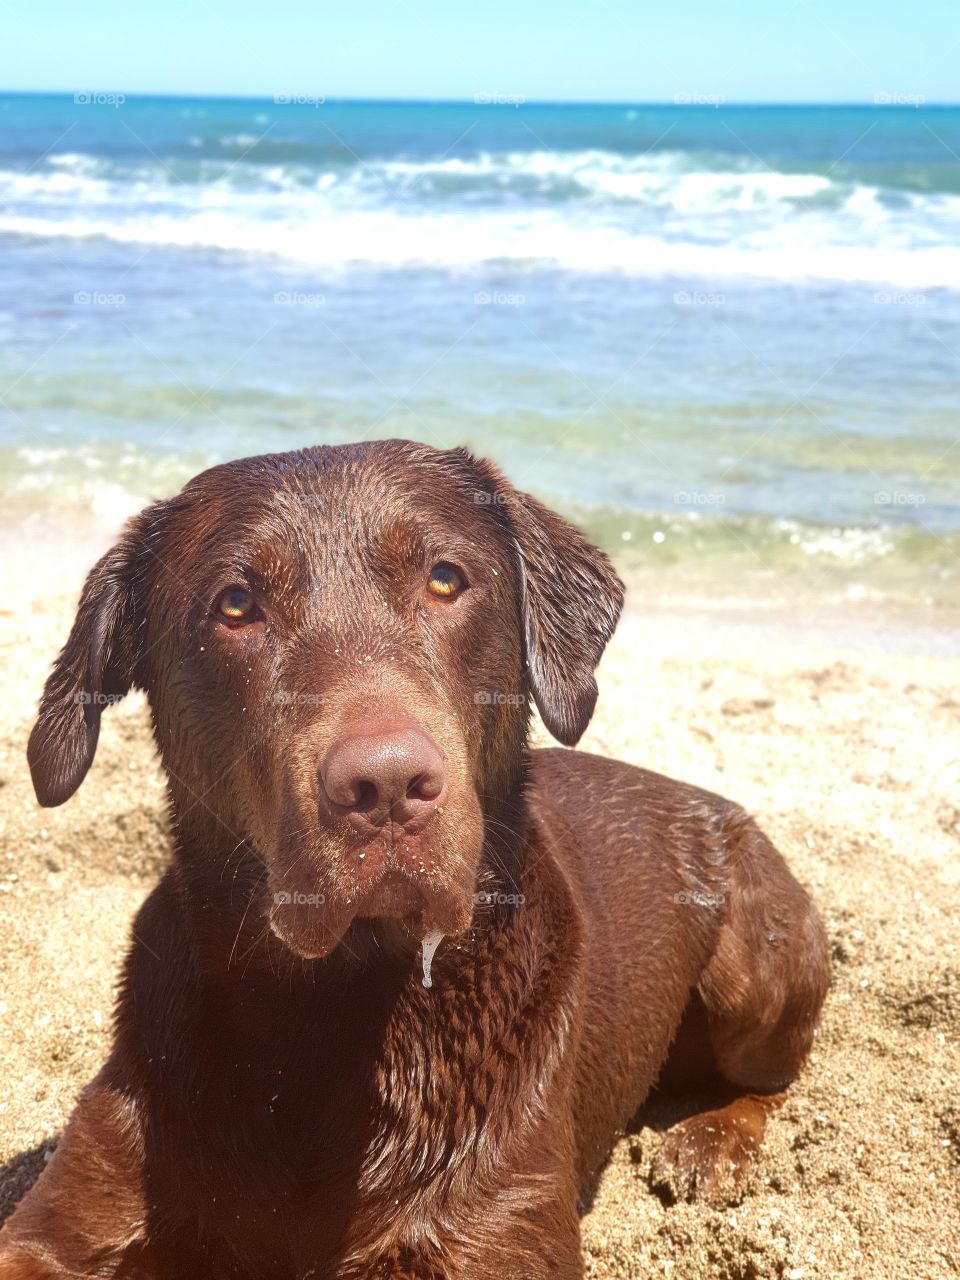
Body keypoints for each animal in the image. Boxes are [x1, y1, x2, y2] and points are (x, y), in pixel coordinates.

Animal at [0, 442, 829, 1280]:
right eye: (235, 604)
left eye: (445, 579)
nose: (388, 786)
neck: (332, 1015)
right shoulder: (70, 1210)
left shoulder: (500, 1231)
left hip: (754, 962)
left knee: (775, 1075)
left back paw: (710, 1143)